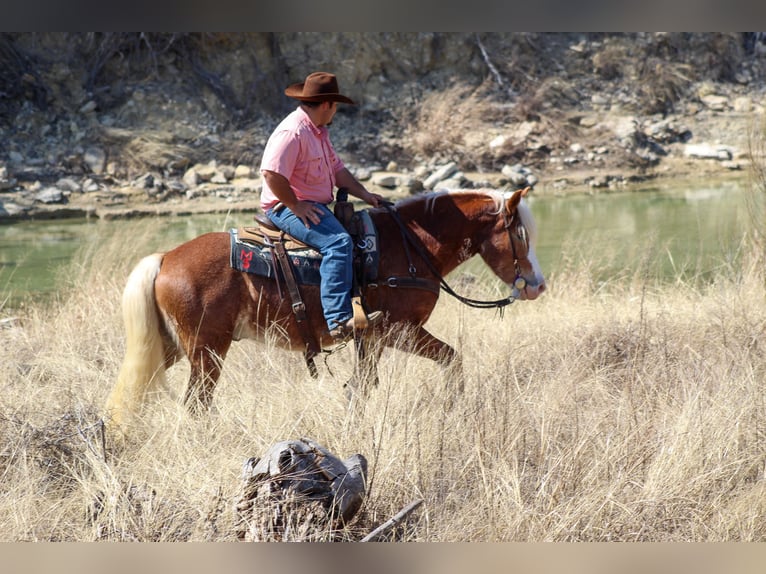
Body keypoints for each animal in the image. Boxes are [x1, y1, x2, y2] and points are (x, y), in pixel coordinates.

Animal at [103, 188, 544, 432]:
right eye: (520, 235)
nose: (537, 285)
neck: (410, 247)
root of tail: (165, 258)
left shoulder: (372, 339)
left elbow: (362, 387)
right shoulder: (399, 330)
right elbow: (452, 359)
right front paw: (455, 408)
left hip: (174, 347)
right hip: (207, 351)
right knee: (196, 404)